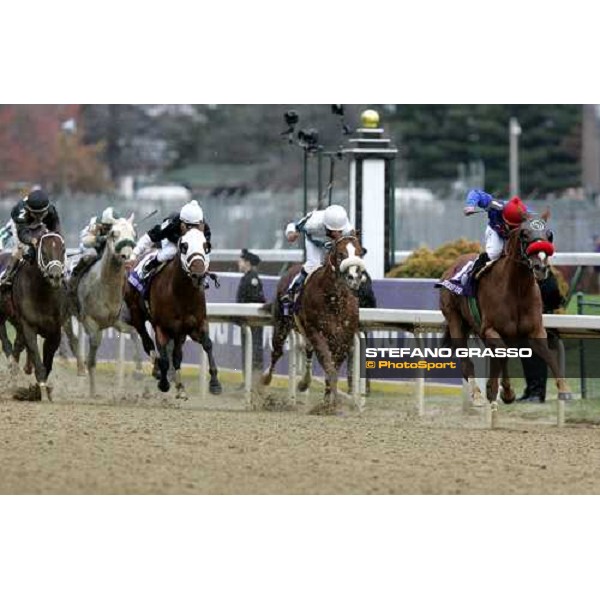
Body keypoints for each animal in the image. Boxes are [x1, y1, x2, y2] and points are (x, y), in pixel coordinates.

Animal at [0, 230, 66, 398]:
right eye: (43, 252)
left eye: (63, 250)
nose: (55, 276)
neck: (42, 294)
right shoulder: (28, 326)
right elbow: (36, 356)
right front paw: (40, 386)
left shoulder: (55, 331)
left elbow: (47, 363)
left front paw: (38, 388)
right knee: (5, 339)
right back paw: (12, 363)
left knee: (17, 344)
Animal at [123, 225, 221, 398]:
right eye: (184, 246)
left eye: (206, 245)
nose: (198, 274)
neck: (182, 294)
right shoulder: (162, 327)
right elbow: (164, 358)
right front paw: (163, 383)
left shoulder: (195, 325)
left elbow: (207, 345)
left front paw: (215, 383)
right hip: (137, 315)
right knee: (148, 343)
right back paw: (157, 370)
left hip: (178, 332)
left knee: (176, 355)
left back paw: (179, 384)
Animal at [262, 233, 366, 412]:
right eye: (340, 254)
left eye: (359, 253)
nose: (354, 278)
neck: (334, 299)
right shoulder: (316, 332)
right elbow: (329, 366)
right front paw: (333, 404)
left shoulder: (344, 338)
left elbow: (332, 368)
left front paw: (327, 402)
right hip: (282, 324)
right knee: (277, 352)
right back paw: (266, 379)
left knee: (308, 351)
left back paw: (304, 382)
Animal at [440, 213, 572, 406]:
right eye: (524, 234)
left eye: (549, 235)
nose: (540, 267)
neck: (517, 290)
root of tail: (451, 267)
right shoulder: (490, 329)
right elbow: (503, 354)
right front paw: (498, 390)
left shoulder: (535, 331)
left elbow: (549, 356)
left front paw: (564, 390)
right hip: (455, 320)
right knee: (467, 362)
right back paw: (478, 395)